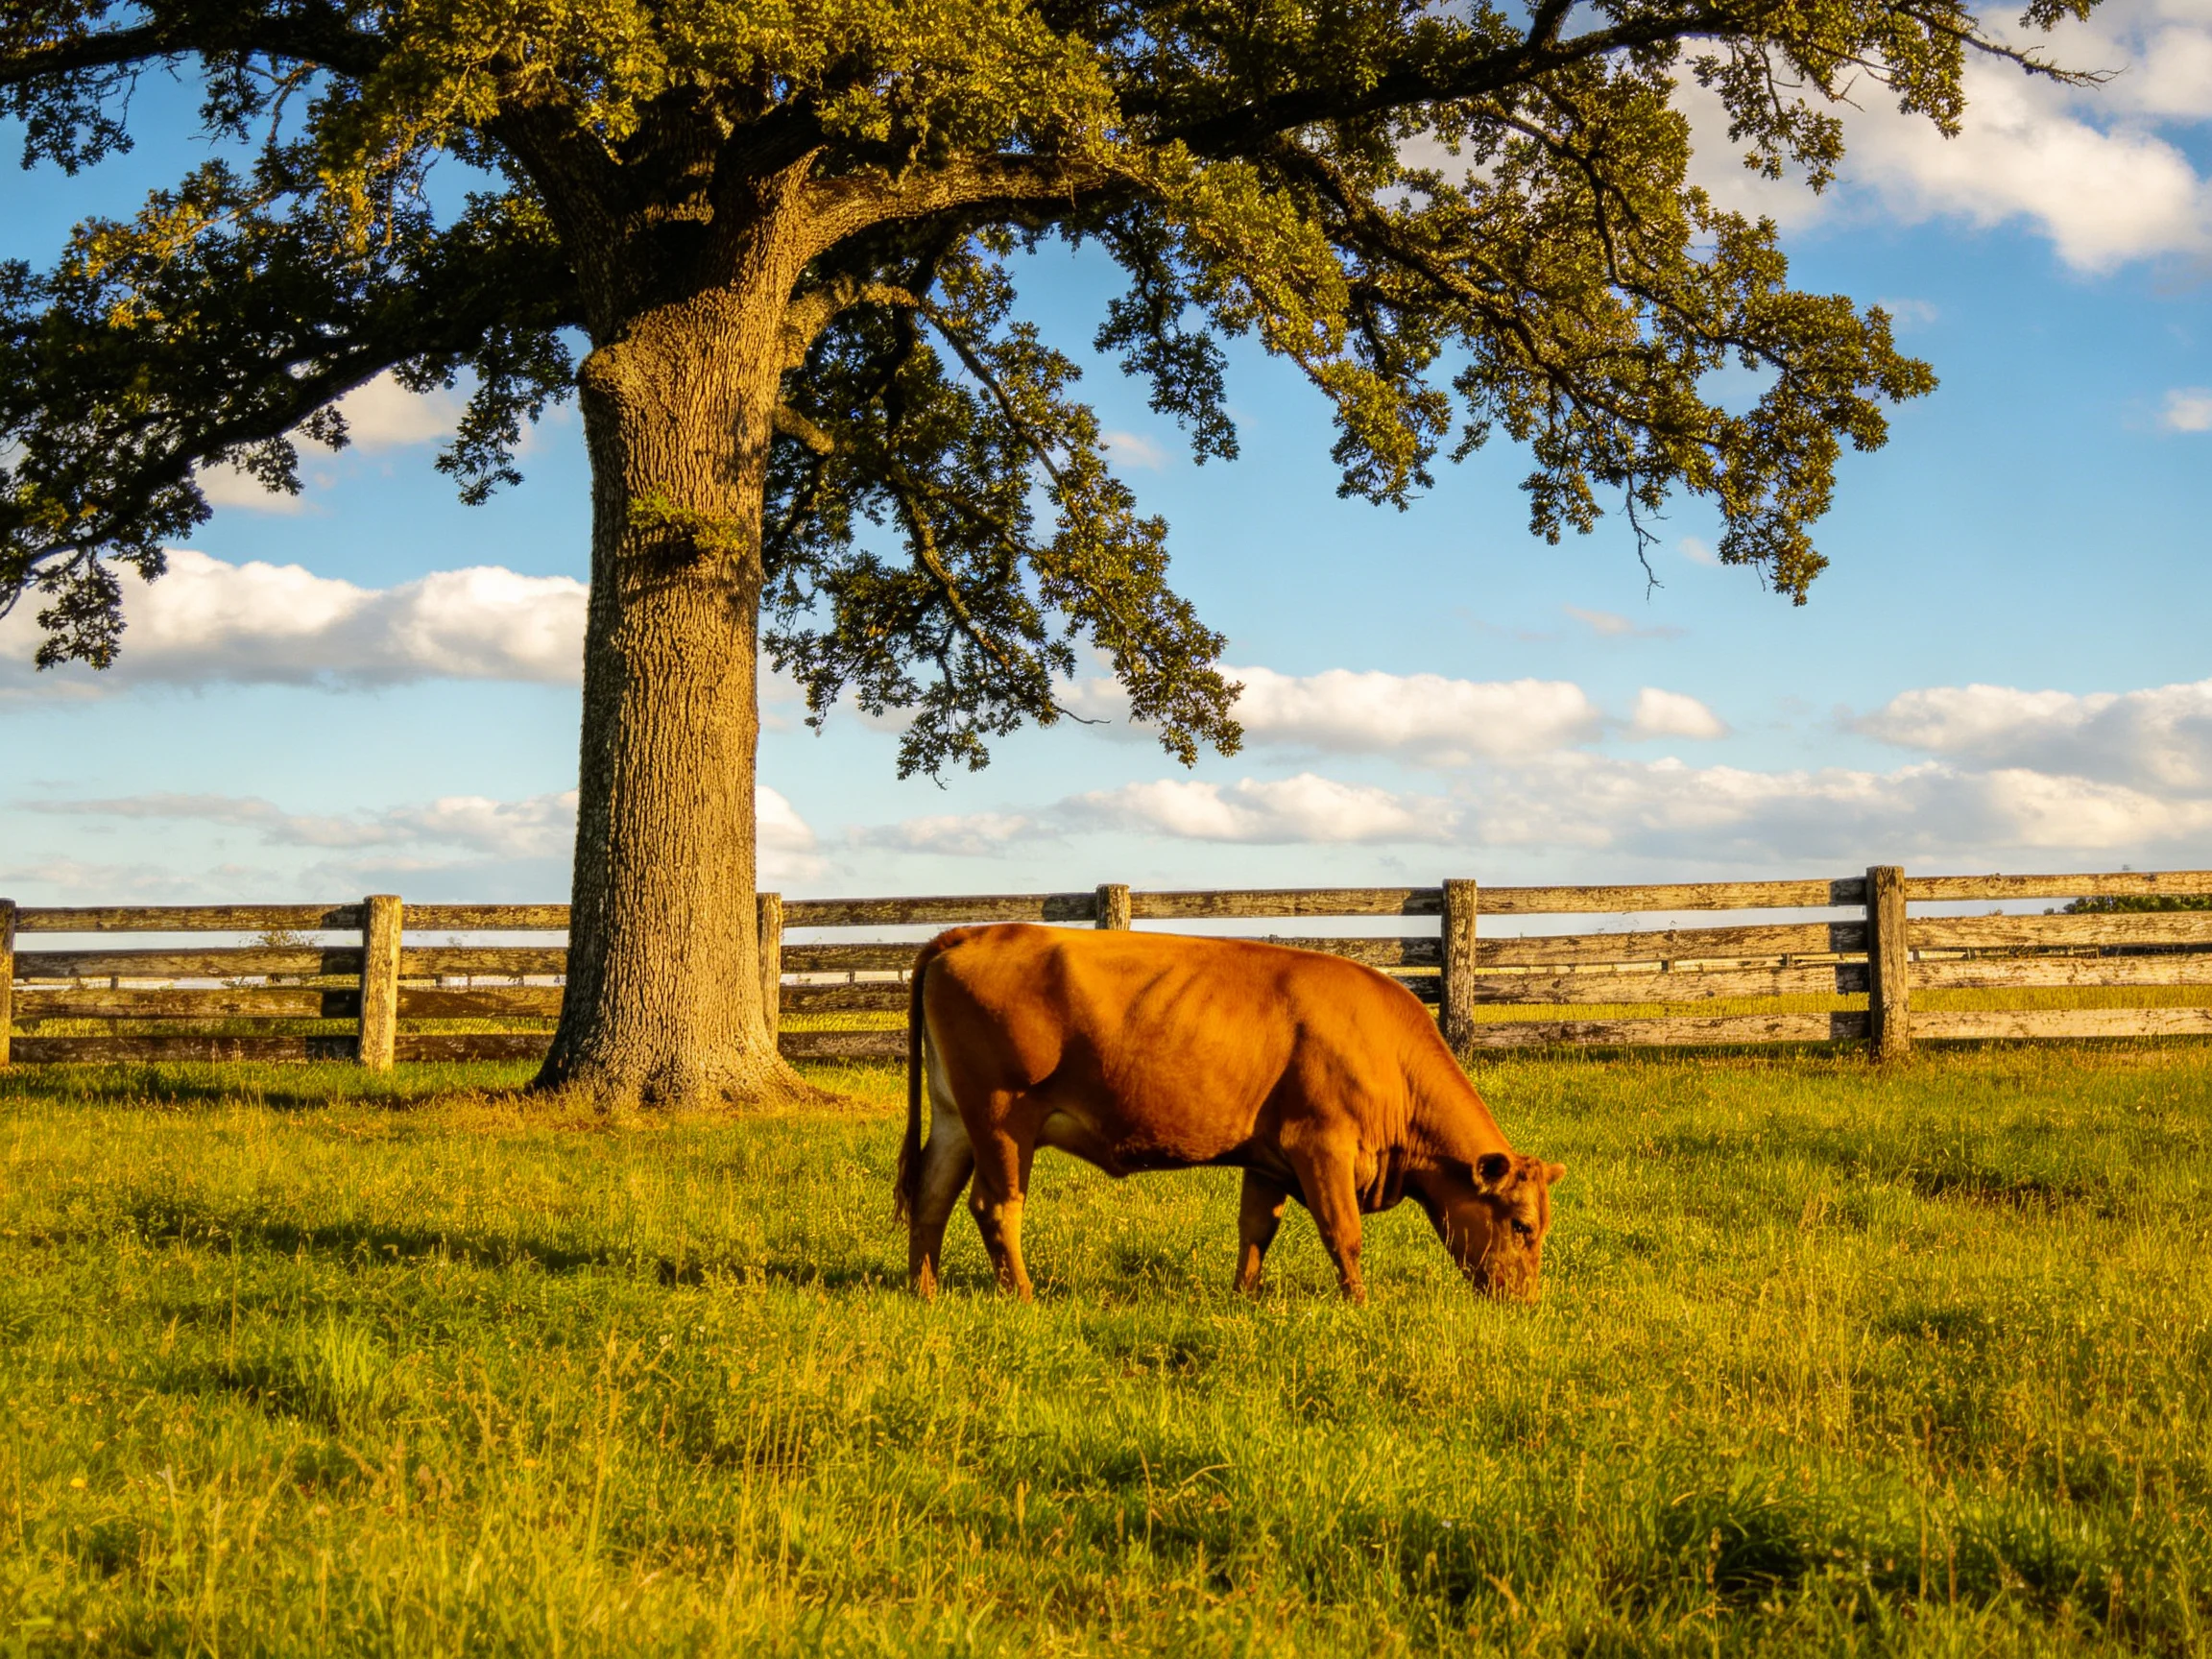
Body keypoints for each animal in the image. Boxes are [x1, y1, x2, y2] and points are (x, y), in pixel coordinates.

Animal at [895, 923, 1565, 1304]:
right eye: (1522, 1226)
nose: (1527, 1304)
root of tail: (973, 931)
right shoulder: (1320, 1145)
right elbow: (1343, 1234)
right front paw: (1360, 1304)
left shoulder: (1269, 1158)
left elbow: (1256, 1229)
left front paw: (1243, 1298)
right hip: (1003, 1118)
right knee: (994, 1206)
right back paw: (1024, 1296)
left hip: (956, 1117)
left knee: (931, 1197)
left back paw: (924, 1291)